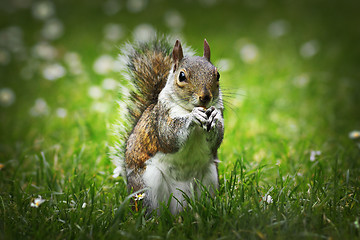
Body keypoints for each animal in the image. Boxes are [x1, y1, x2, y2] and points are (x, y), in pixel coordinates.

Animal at [112, 36, 224, 214]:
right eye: (182, 76)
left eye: (217, 74)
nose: (205, 97)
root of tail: (180, 207)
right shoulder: (162, 117)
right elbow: (169, 136)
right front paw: (192, 116)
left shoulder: (219, 111)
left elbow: (217, 139)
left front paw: (212, 117)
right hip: (148, 184)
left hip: (210, 177)